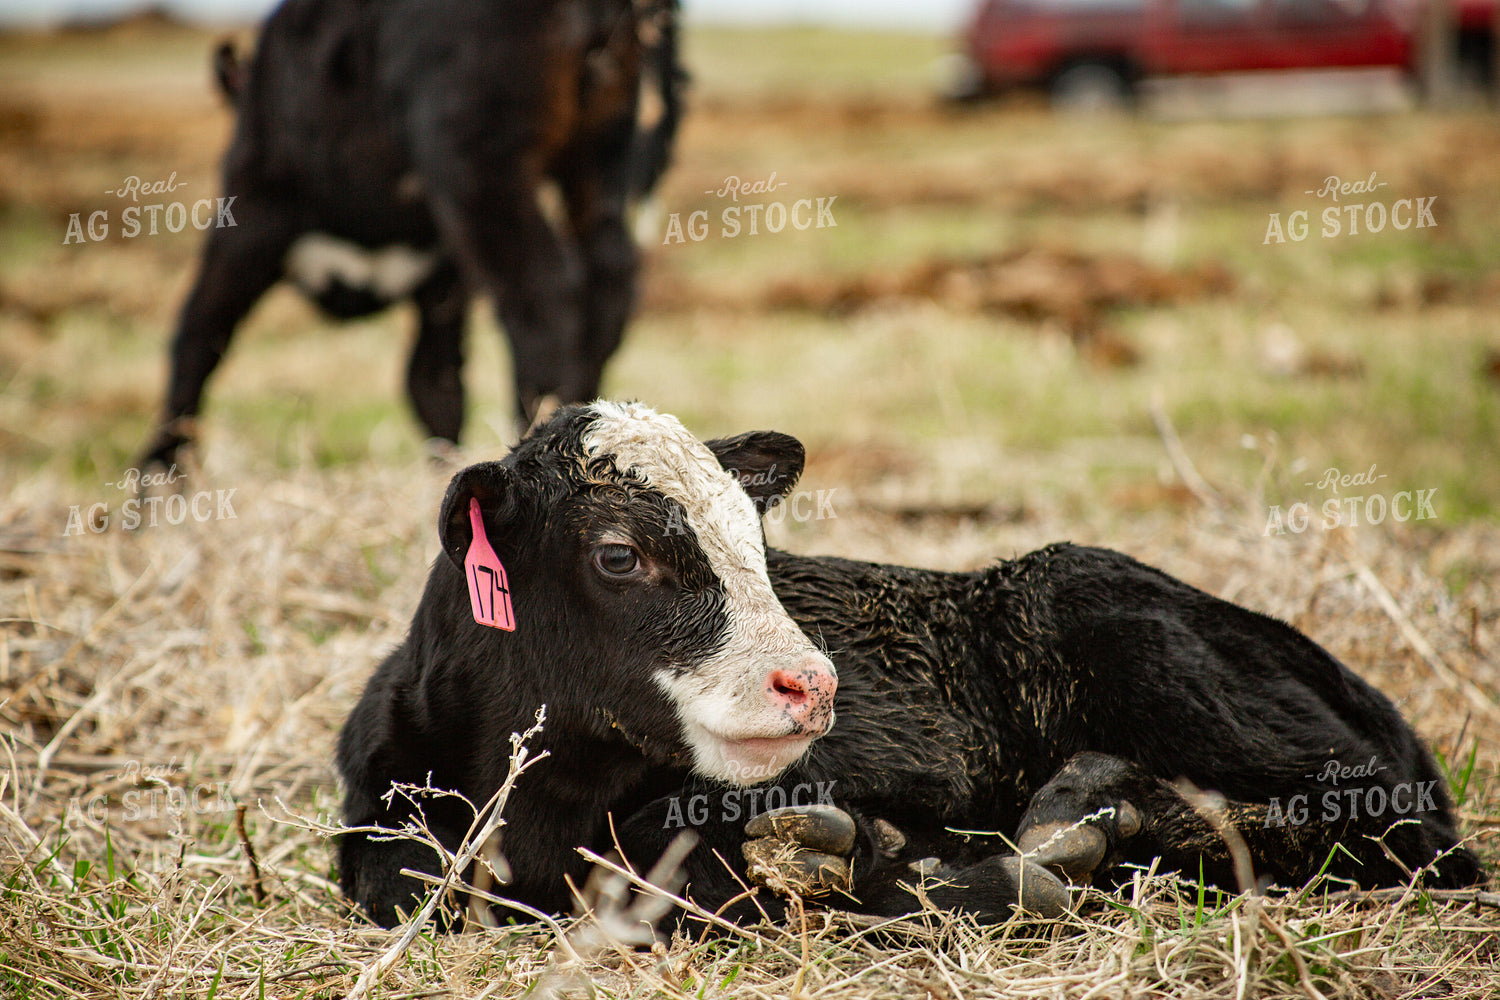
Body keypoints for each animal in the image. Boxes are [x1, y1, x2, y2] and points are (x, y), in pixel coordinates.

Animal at [138, 0, 685, 472]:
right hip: (601, 155)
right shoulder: (445, 276)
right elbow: (434, 382)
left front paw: (156, 486)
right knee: (609, 281)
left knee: (542, 293)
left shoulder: (250, 209)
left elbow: (197, 334)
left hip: (479, 167)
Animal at [336, 401, 1483, 929]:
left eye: (758, 540)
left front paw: (860, 860)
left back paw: (1089, 824)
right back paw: (1088, 812)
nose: (815, 683)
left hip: (1139, 639)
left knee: (1403, 834)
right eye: (618, 553)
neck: (547, 807)